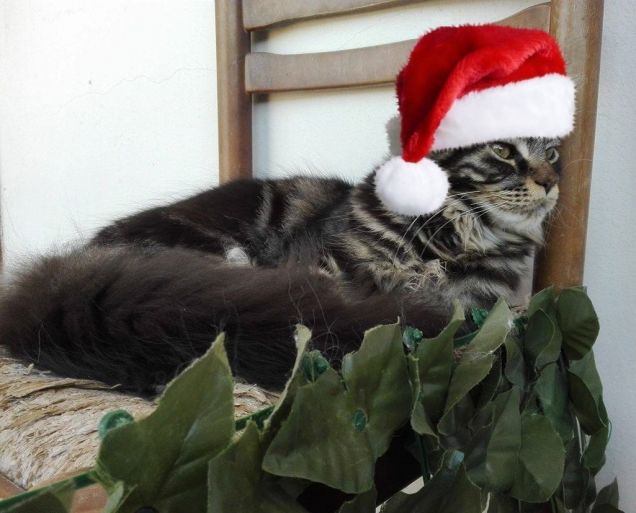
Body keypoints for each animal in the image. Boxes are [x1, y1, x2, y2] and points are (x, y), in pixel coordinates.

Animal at [0, 136, 556, 392]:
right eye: (503, 150)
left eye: (551, 151)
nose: (551, 182)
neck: (450, 240)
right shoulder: (318, 264)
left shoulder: (473, 301)